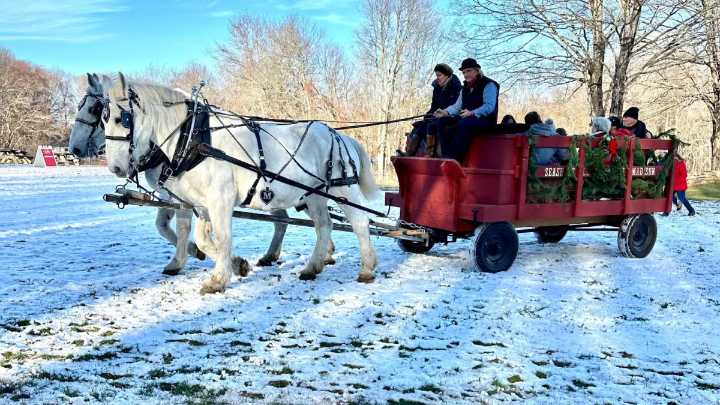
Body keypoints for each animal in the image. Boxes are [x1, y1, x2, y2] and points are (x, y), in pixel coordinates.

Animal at [102, 73, 378, 293]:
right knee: (323, 225)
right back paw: (312, 267)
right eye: (103, 118)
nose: (115, 167)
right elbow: (203, 239)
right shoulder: (200, 203)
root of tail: (340, 136)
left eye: (121, 119)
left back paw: (366, 268)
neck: (195, 138)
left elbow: (221, 238)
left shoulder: (220, 200)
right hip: (314, 194)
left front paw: (218, 279)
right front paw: (236, 265)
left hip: (342, 187)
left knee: (359, 221)